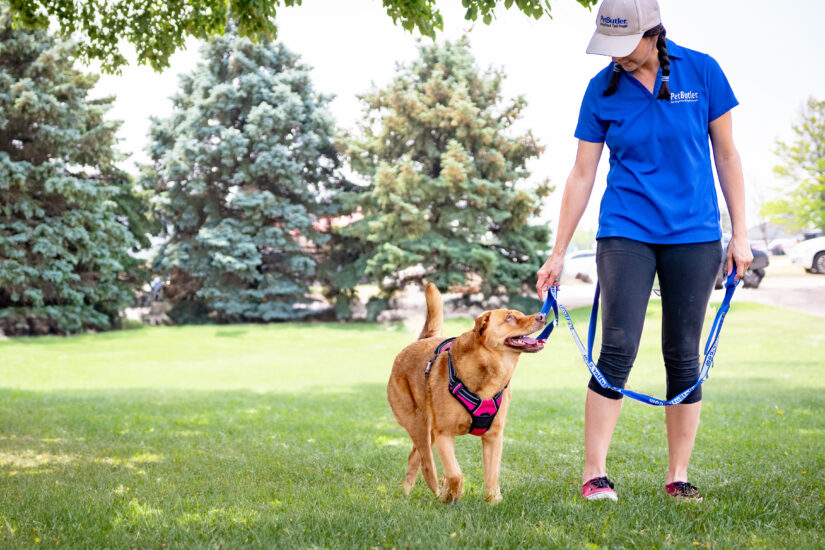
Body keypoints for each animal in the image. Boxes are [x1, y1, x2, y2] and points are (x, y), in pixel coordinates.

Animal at [388, 284, 548, 504]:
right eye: (509, 318)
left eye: (521, 315)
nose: (542, 316)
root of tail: (421, 340)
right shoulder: (445, 434)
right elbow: (456, 473)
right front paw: (452, 494)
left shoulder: (493, 436)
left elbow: (492, 475)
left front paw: (493, 502)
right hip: (418, 424)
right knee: (427, 463)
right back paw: (437, 490)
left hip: (428, 432)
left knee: (416, 457)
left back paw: (408, 492)